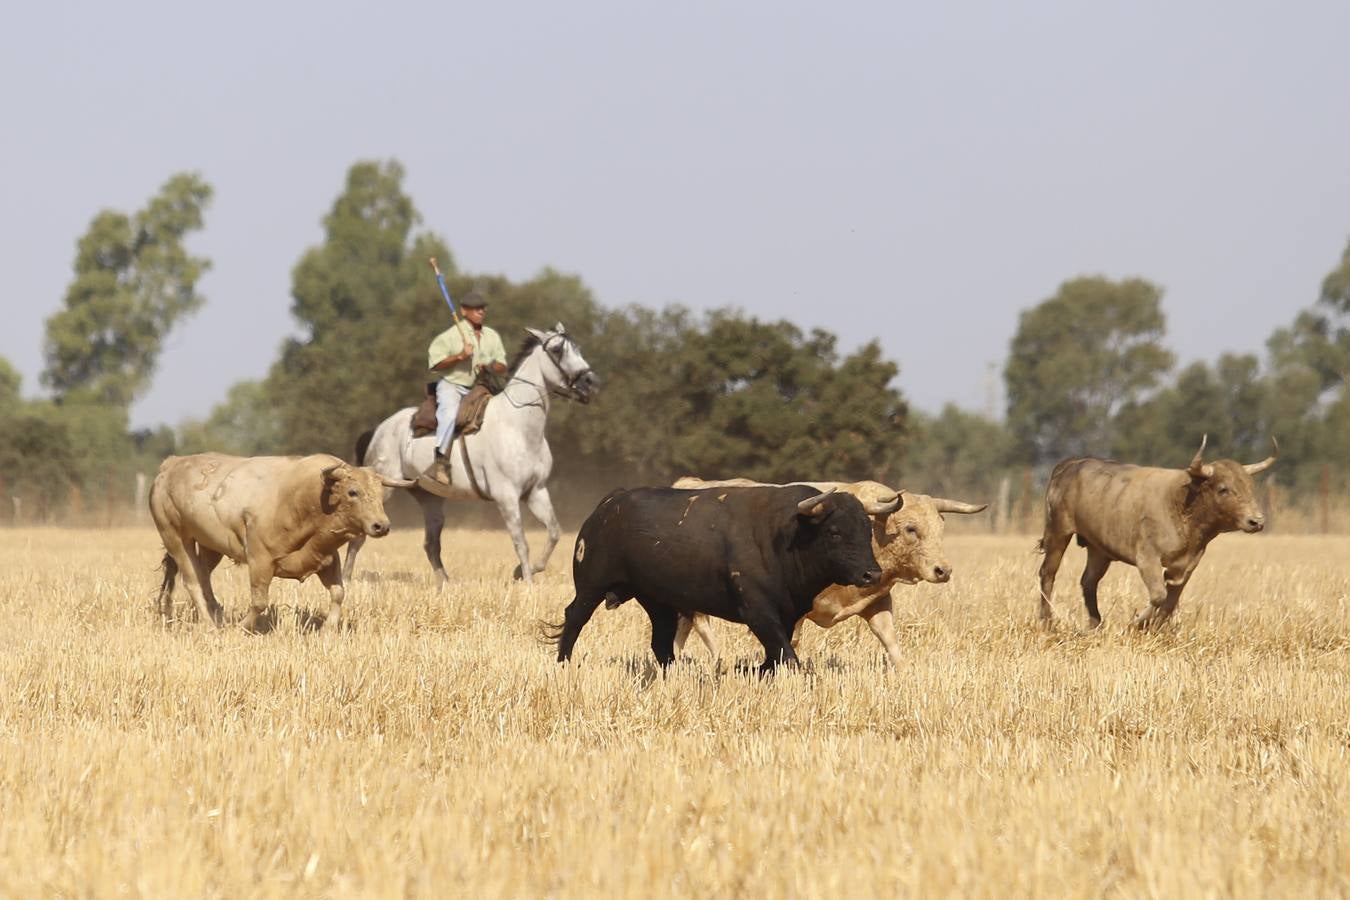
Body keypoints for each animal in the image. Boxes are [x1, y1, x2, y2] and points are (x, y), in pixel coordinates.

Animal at [149, 450, 410, 634]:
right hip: (175, 537)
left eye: (379, 493)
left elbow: (338, 592)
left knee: (203, 577)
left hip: (209, 545)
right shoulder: (259, 560)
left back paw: (217, 616)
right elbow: (259, 602)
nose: (381, 525)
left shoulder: (328, 558)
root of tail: (170, 465)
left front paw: (328, 629)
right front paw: (242, 627)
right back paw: (210, 624)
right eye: (352, 492)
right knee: (192, 580)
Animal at [345, 322, 599, 585]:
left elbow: (554, 532)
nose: (590, 382)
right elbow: (521, 543)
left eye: (577, 348)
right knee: (359, 536)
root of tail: (377, 430)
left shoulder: (536, 491)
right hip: (384, 488)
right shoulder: (506, 496)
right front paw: (527, 582)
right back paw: (345, 579)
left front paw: (523, 572)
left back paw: (445, 584)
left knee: (431, 545)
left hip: (430, 499)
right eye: (558, 349)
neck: (518, 427)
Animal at [548, 485, 885, 669]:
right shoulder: (758, 612)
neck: (783, 535)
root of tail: (609, 504)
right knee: (575, 617)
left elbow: (776, 657)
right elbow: (786, 656)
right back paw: (563, 663)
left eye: (868, 530)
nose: (872, 574)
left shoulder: (786, 616)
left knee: (661, 644)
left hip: (658, 602)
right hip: (591, 587)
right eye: (835, 531)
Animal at [669, 474, 988, 666]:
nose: (943, 570)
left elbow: (890, 639)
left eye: (940, 528)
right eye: (911, 529)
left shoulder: (877, 602)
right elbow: (790, 641)